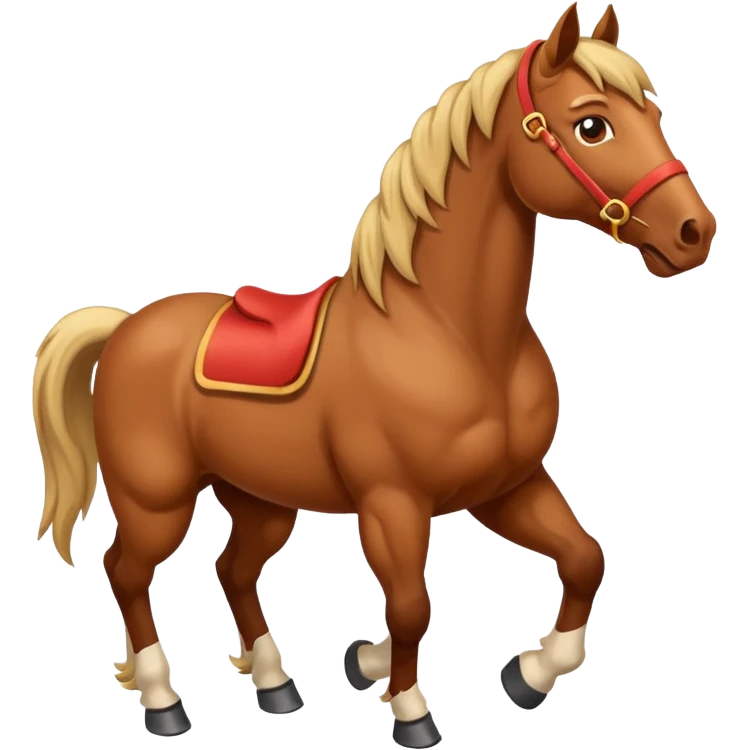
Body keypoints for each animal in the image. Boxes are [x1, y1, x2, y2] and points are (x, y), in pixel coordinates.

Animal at [31, 3, 716, 747]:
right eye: (593, 124)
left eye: (652, 110)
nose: (693, 232)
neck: (448, 335)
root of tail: (126, 326)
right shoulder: (394, 503)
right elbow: (412, 604)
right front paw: (410, 708)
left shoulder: (507, 487)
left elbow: (585, 558)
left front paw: (520, 674)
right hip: (156, 500)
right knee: (126, 572)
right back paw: (163, 700)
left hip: (262, 499)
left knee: (233, 569)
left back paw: (275, 686)